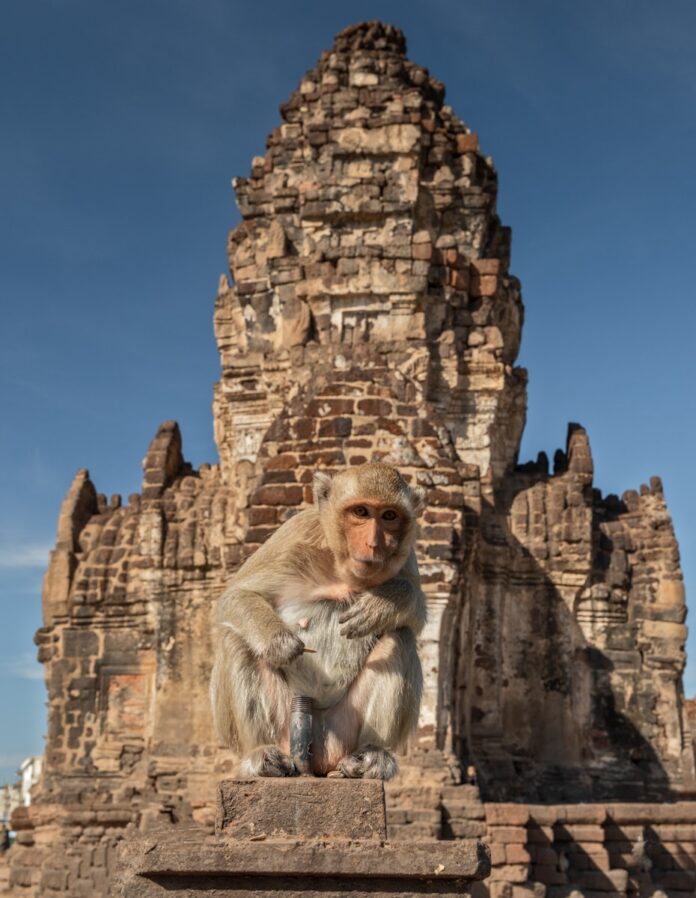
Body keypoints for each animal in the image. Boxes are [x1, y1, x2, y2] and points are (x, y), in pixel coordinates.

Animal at [209, 462, 426, 776]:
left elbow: (416, 615)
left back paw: (371, 756)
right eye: (361, 512)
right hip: (286, 724)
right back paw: (261, 756)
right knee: (234, 639)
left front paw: (384, 604)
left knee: (401, 637)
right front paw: (278, 642)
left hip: (342, 728)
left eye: (389, 516)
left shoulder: (407, 555)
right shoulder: (295, 533)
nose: (374, 544)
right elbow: (236, 595)